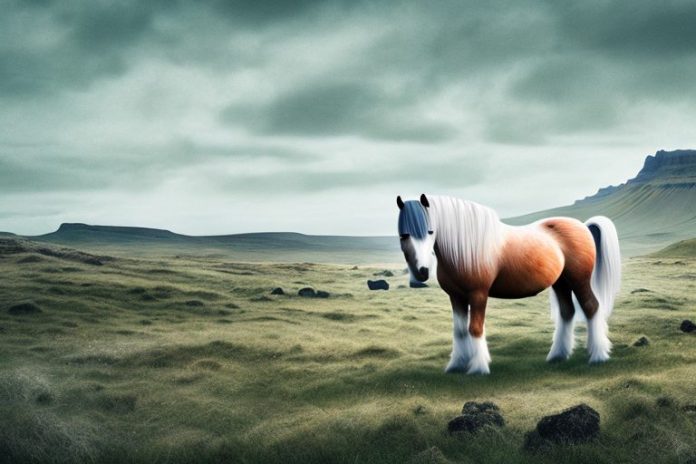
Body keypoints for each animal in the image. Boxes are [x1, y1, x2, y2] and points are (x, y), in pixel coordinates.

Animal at [396, 194, 621, 375]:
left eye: (430, 231)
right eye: (404, 234)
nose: (422, 272)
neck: (463, 250)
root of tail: (583, 226)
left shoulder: (478, 294)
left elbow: (475, 328)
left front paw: (478, 368)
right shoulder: (456, 296)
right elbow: (459, 330)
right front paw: (456, 365)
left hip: (579, 281)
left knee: (591, 307)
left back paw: (598, 356)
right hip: (561, 283)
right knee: (567, 312)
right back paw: (557, 355)